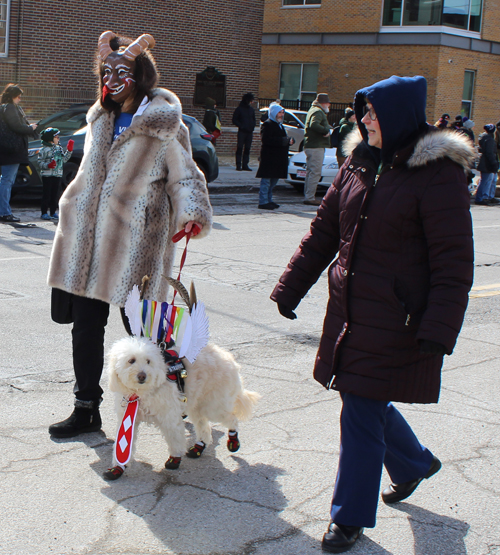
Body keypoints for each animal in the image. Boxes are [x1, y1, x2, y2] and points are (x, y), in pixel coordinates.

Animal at [103, 336, 260, 480]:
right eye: (131, 360)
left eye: (148, 361)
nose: (143, 375)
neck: (142, 393)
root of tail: (227, 356)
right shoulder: (128, 419)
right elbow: (123, 443)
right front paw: (118, 468)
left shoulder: (169, 417)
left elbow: (175, 438)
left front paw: (174, 459)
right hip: (196, 406)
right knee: (204, 426)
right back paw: (198, 447)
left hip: (214, 406)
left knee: (231, 418)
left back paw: (233, 440)